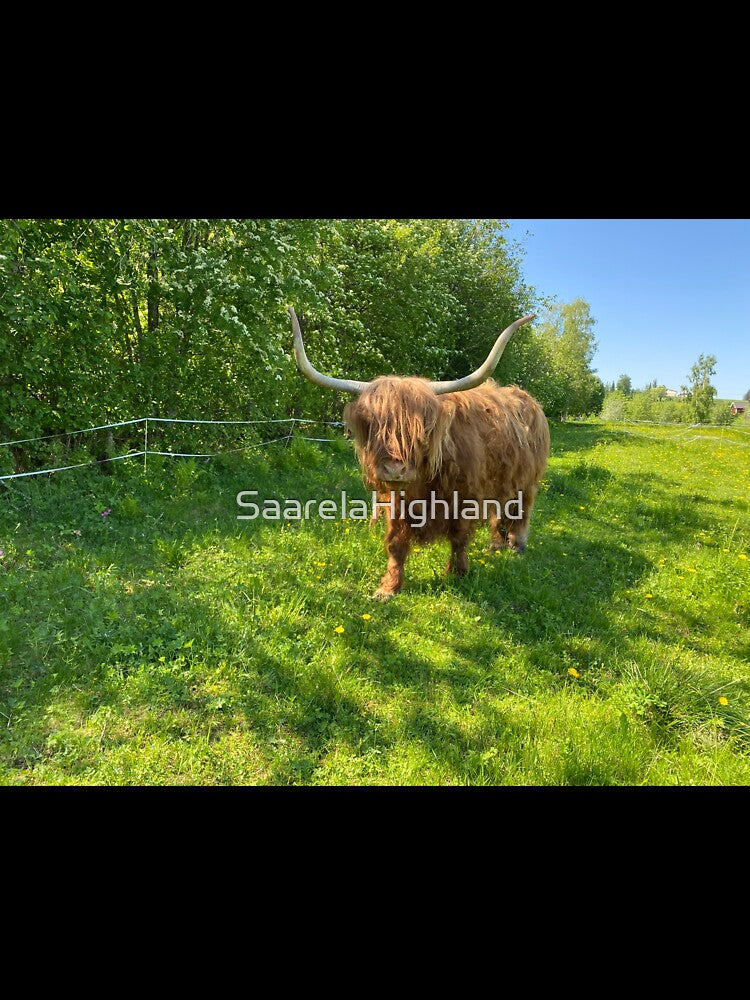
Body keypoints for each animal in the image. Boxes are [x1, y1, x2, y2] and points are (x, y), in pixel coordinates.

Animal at [288, 306, 550, 600]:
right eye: (371, 424)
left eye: (421, 427)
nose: (394, 469)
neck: (424, 486)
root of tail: (528, 399)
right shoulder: (397, 503)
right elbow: (396, 544)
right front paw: (388, 588)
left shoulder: (466, 498)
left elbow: (459, 539)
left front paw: (457, 574)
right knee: (500, 511)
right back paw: (494, 546)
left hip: (527, 481)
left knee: (521, 510)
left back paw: (516, 545)